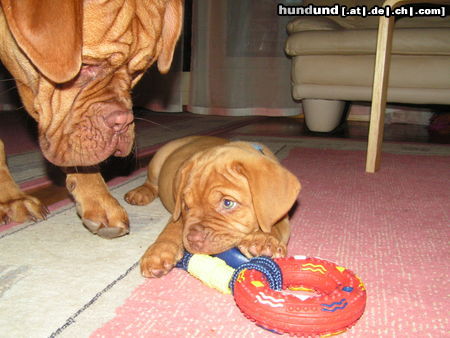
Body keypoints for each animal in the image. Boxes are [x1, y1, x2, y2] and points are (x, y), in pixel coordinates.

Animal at [123, 135, 300, 278]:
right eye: (186, 206)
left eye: (228, 203)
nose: (193, 239)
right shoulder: (177, 213)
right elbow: (172, 228)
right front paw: (159, 251)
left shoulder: (282, 218)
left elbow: (275, 225)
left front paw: (264, 240)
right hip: (158, 160)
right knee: (151, 183)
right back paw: (140, 193)